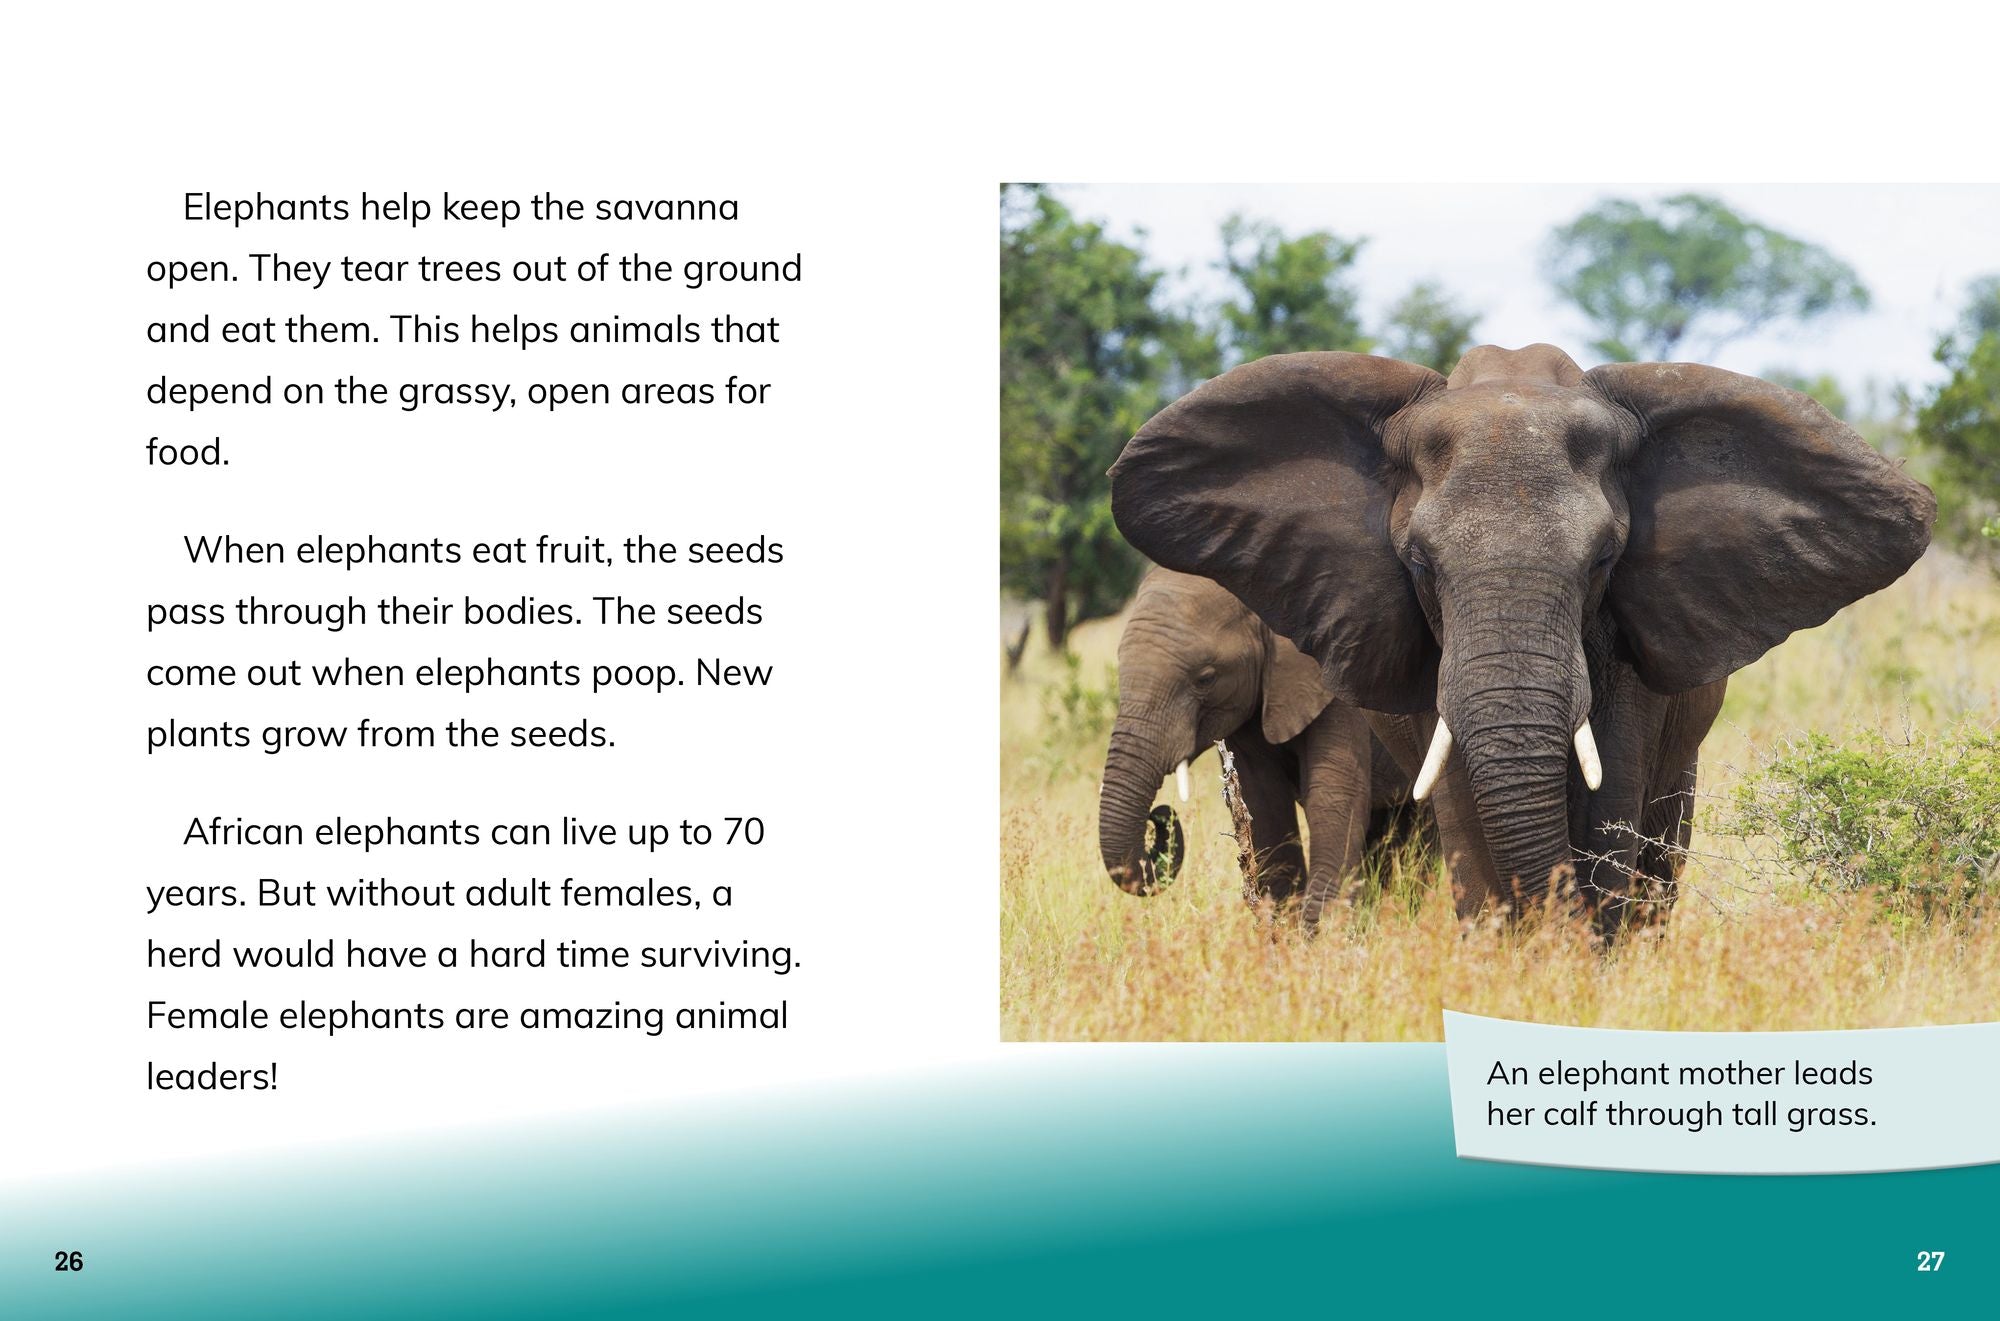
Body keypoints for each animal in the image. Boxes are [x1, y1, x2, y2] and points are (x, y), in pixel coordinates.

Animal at [1099, 566, 1417, 926]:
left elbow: (1333, 798)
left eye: (1206, 678)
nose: (1161, 813)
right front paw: (1288, 932)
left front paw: (1316, 933)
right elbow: (1266, 807)